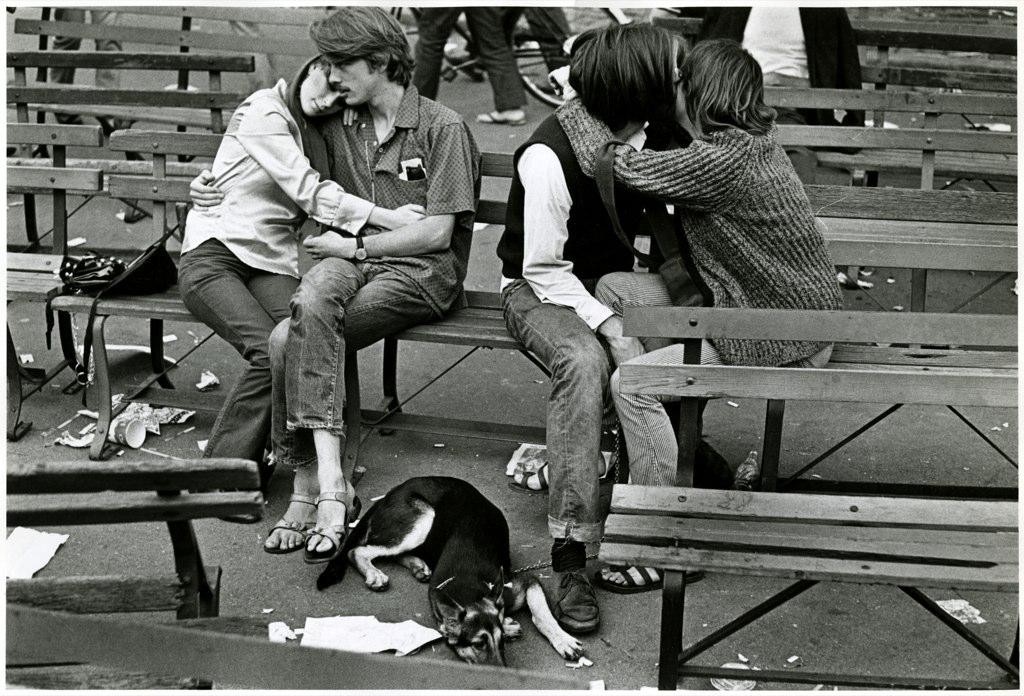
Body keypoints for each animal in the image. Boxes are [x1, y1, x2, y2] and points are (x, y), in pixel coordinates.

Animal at [315, 474, 585, 667]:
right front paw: (510, 625)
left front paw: (563, 640)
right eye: (478, 645)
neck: (467, 584)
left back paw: (418, 566)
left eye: (500, 646)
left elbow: (542, 615)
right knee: (357, 551)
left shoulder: (527, 582)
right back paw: (375, 574)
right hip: (423, 518)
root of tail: (389, 494)